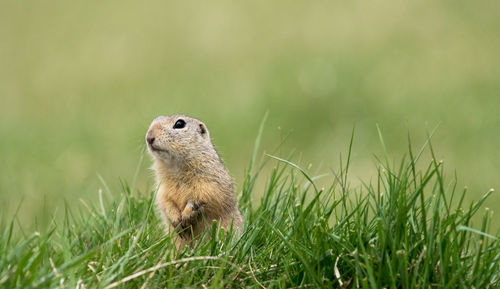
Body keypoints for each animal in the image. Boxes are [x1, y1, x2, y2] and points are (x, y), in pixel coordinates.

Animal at [146, 113, 243, 246]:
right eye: (154, 120)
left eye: (179, 124)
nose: (149, 137)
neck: (175, 167)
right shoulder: (162, 188)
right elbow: (165, 201)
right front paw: (175, 219)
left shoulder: (209, 182)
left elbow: (202, 197)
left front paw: (187, 216)